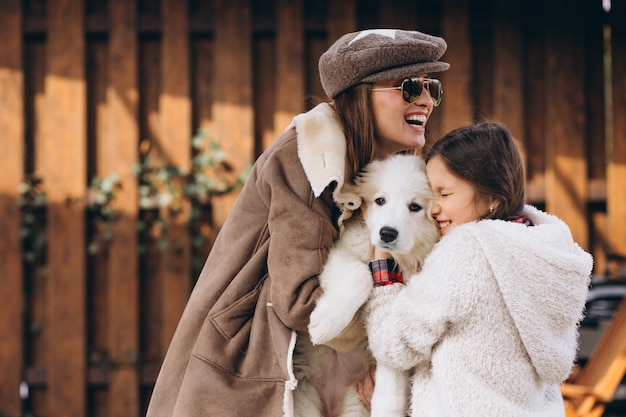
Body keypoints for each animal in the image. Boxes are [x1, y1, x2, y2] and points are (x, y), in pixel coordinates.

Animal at [292, 154, 438, 416]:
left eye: (415, 207)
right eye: (380, 200)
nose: (387, 233)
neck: (398, 261)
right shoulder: (340, 252)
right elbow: (360, 275)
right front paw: (325, 323)